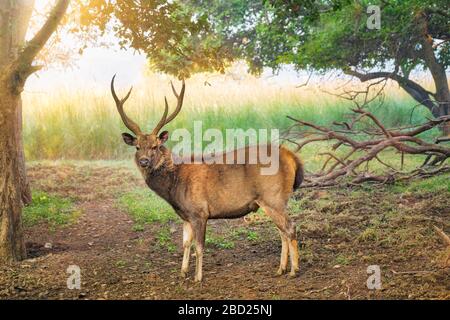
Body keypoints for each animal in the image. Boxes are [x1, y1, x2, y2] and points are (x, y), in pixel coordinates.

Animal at [110, 75, 304, 280]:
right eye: (137, 147)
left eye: (155, 146)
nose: (144, 161)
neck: (174, 186)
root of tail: (292, 157)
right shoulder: (186, 215)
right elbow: (186, 244)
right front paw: (182, 273)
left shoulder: (199, 211)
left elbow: (199, 247)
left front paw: (197, 277)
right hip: (272, 201)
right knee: (282, 231)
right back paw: (281, 268)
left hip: (273, 197)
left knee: (290, 228)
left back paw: (293, 270)